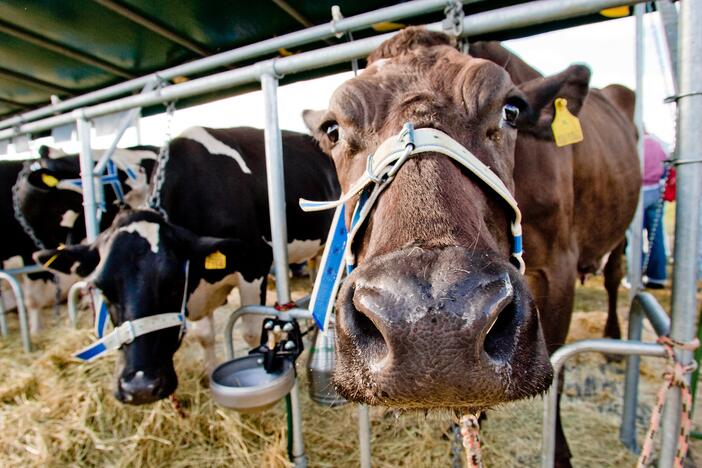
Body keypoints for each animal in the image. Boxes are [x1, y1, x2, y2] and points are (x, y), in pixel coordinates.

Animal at [37, 126, 340, 404]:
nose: (140, 387)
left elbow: (252, 333)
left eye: (171, 283)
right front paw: (208, 375)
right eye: (103, 289)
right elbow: (204, 335)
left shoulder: (254, 265)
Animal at [304, 27, 644, 466]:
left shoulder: (559, 267)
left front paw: (559, 452)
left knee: (615, 275)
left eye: (511, 110)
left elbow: (558, 372)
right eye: (333, 130)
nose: (431, 323)